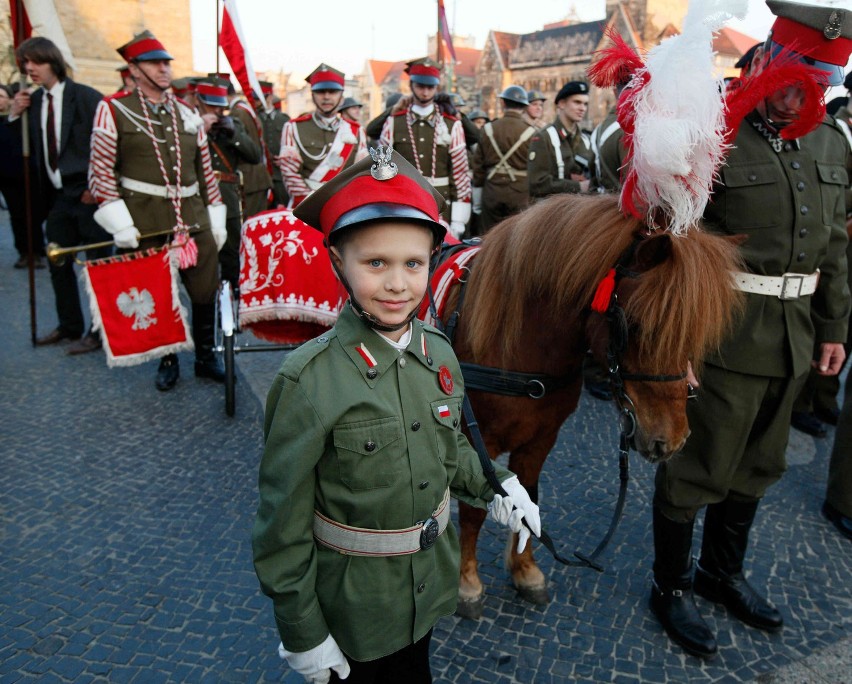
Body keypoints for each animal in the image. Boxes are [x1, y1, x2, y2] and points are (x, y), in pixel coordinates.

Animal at [442, 194, 744, 620]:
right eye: (636, 325)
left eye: (694, 332)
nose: (673, 439)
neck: (516, 350)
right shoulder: (478, 438)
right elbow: (473, 510)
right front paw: (467, 583)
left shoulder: (541, 440)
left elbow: (529, 498)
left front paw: (525, 570)